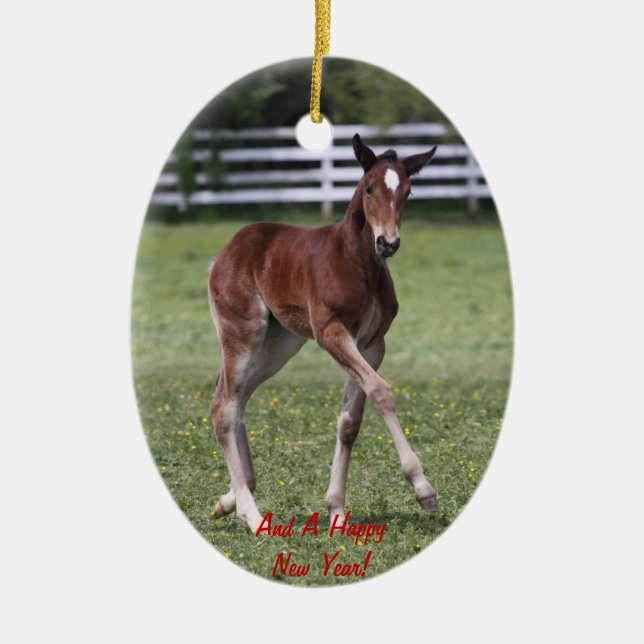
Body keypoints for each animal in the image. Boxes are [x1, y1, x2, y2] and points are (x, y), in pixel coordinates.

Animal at [208, 134, 438, 533]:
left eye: (408, 191)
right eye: (369, 188)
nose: (388, 243)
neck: (360, 264)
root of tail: (225, 252)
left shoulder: (371, 343)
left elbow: (350, 421)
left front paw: (336, 509)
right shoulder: (330, 331)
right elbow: (381, 392)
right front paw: (423, 489)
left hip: (279, 345)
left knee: (236, 400)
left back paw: (232, 498)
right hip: (243, 331)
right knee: (225, 407)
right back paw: (250, 513)